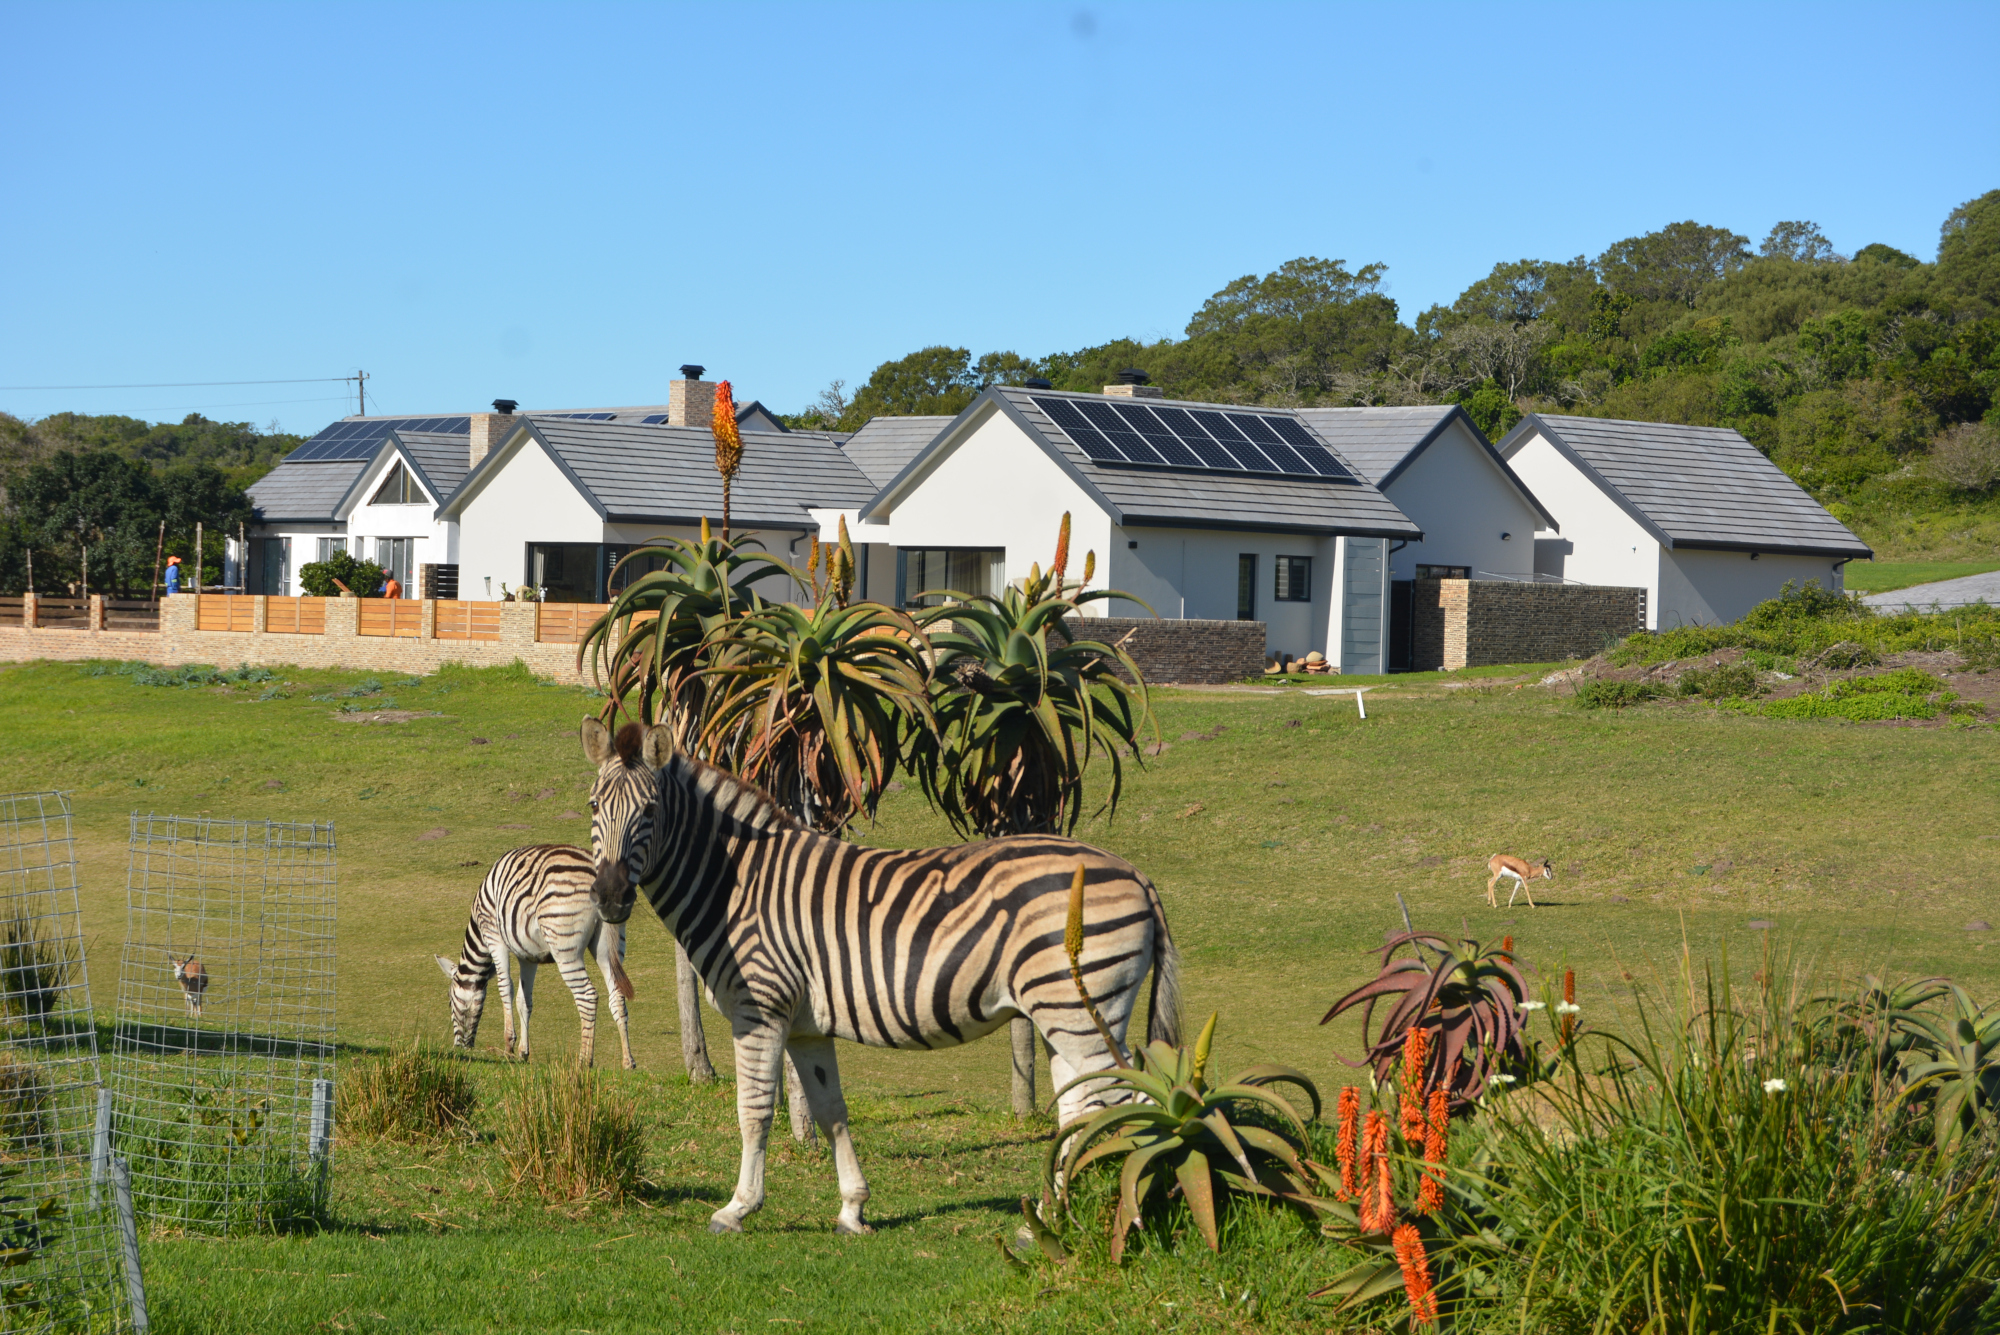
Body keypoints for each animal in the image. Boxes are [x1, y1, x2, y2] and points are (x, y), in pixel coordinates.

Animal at [434, 843, 636, 1071]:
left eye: (450, 1002)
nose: (458, 1048)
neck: (478, 930)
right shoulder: (527, 956)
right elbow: (524, 1000)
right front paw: (523, 1051)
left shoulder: (494, 935)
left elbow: (506, 988)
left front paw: (509, 1047)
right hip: (608, 947)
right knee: (617, 996)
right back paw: (628, 1061)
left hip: (564, 946)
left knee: (587, 996)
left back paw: (584, 1060)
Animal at [580, 723, 1176, 1239]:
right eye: (592, 807)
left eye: (650, 811)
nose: (609, 897)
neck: (737, 884)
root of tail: (1138, 875)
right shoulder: (805, 1027)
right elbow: (831, 1113)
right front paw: (853, 1209)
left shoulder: (759, 1008)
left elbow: (753, 1111)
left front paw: (737, 1208)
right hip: (1061, 1015)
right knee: (1083, 1107)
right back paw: (1052, 1222)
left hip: (1082, 1012)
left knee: (1131, 1099)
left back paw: (1135, 1214)